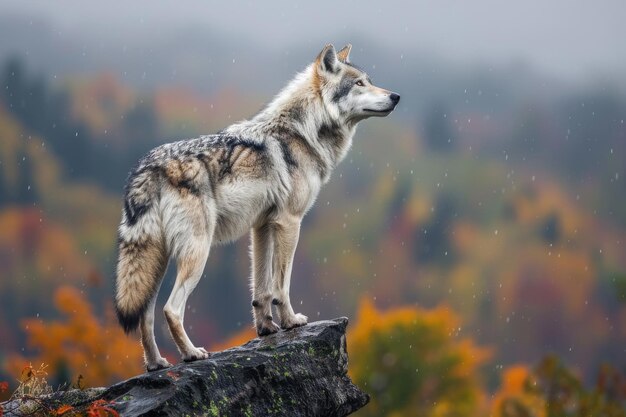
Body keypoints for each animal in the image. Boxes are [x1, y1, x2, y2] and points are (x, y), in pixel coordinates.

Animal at [114, 44, 400, 370]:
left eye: (370, 81)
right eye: (359, 84)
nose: (396, 96)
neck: (303, 131)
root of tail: (148, 167)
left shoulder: (261, 226)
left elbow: (261, 287)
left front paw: (266, 328)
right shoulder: (290, 222)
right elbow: (281, 285)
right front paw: (290, 322)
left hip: (156, 261)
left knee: (145, 316)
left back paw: (157, 364)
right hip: (197, 252)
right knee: (171, 309)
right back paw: (192, 353)